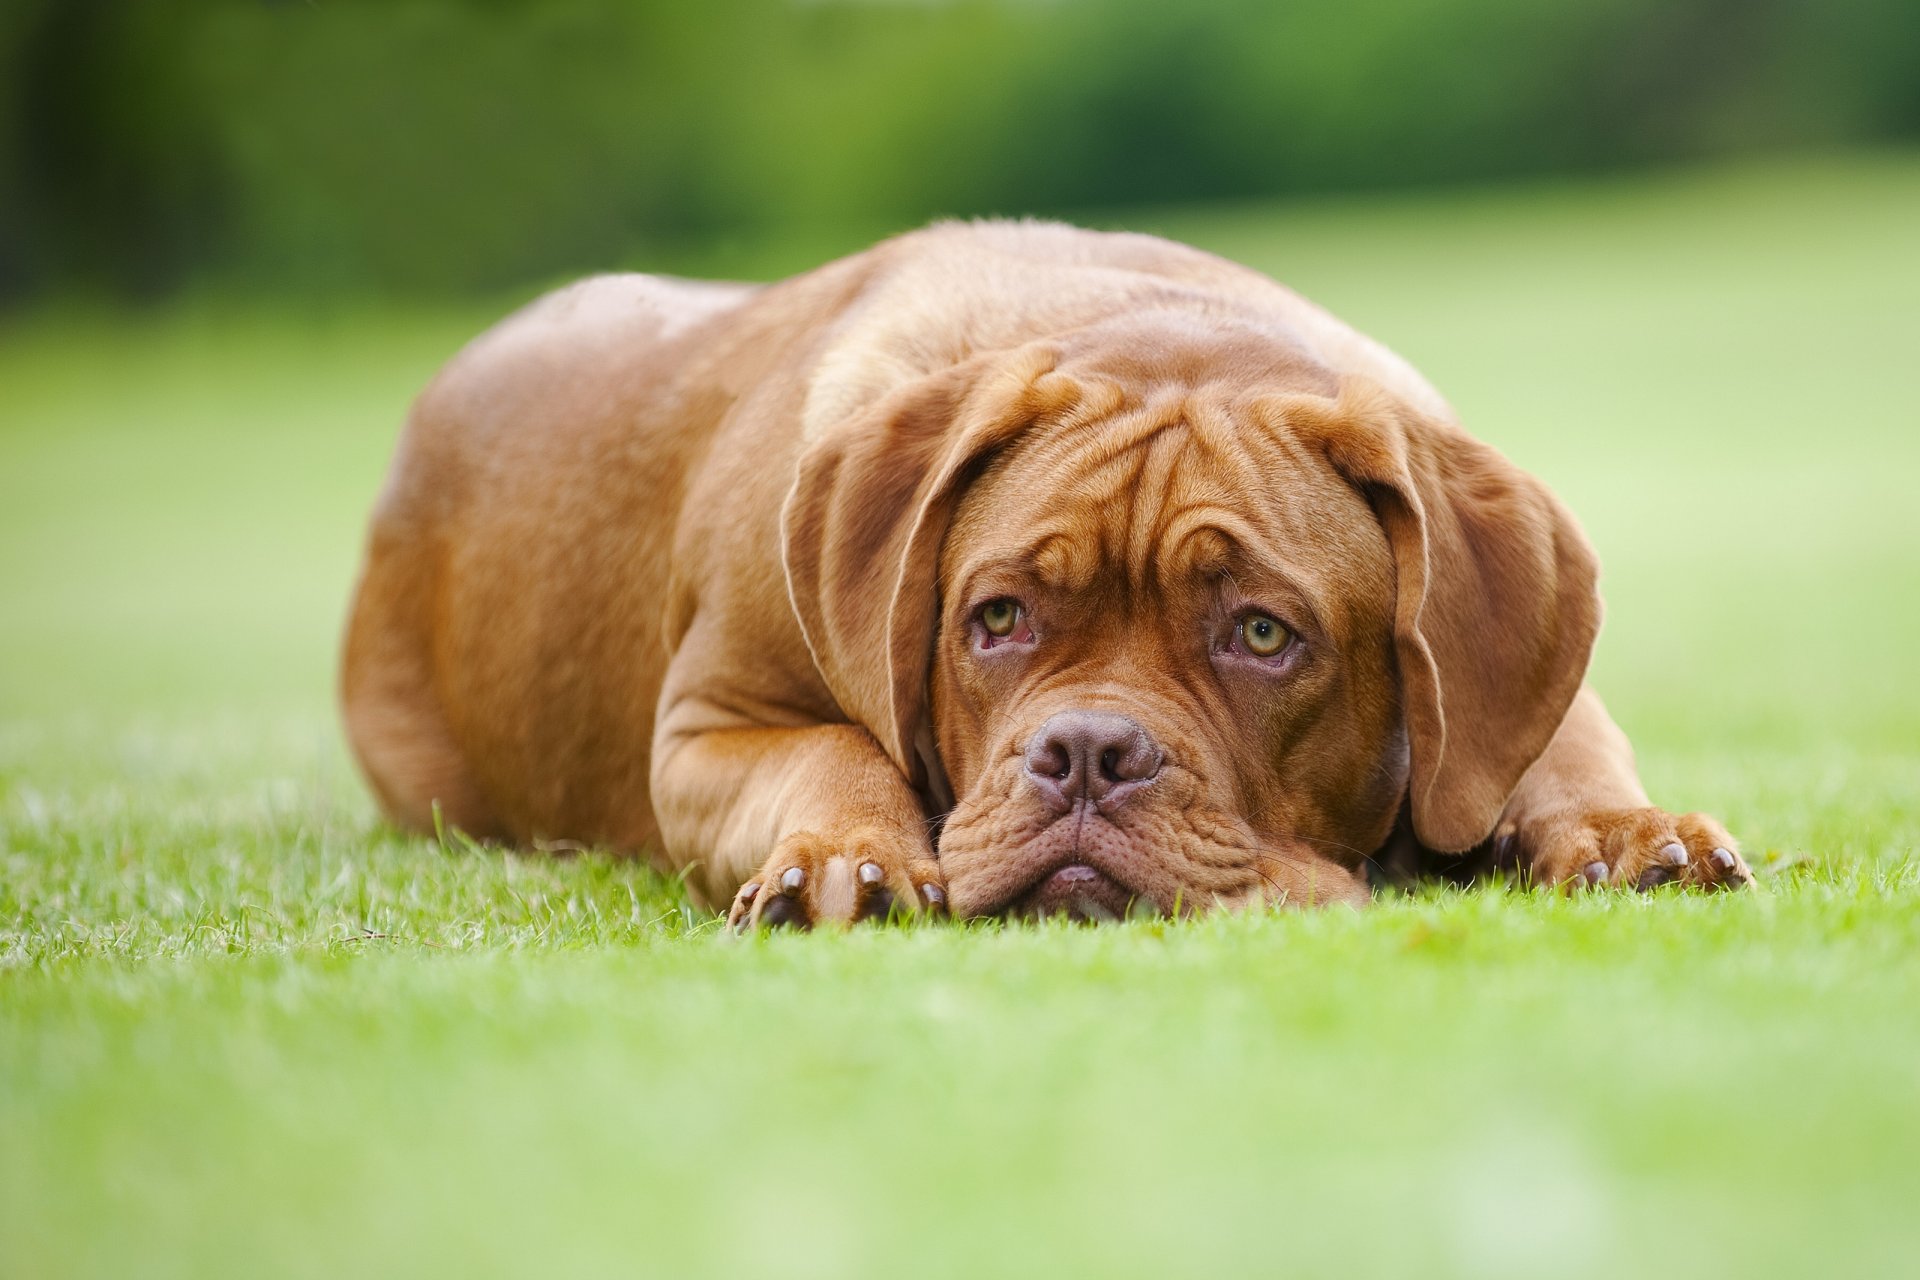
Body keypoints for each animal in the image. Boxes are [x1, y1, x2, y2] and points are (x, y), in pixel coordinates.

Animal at [337, 220, 1751, 921]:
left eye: (1263, 634)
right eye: (999, 617)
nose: (1085, 753)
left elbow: (1555, 734)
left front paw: (1623, 828)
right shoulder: (709, 725)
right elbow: (829, 749)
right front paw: (844, 856)